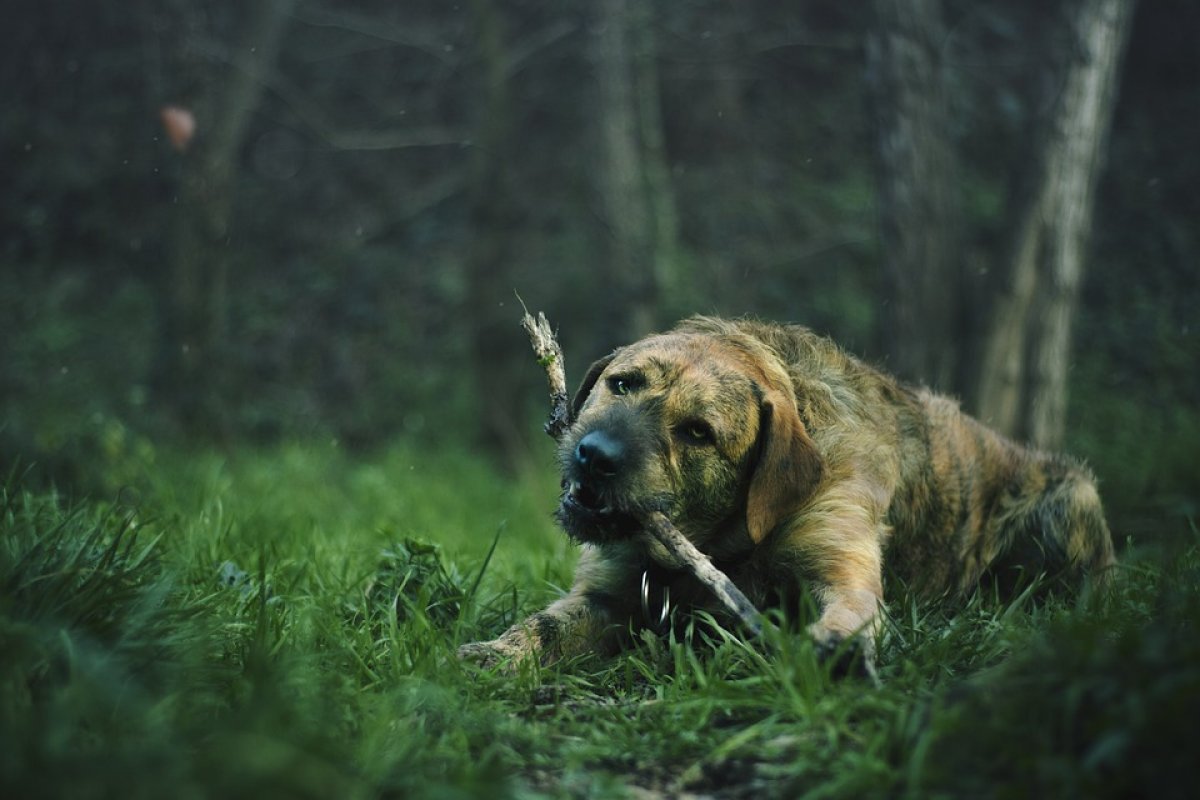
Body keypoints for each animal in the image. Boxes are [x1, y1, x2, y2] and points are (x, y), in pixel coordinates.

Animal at [458, 316, 1113, 671]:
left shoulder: (839, 556)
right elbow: (543, 625)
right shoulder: (606, 595)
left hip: (1070, 503)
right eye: (622, 384)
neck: (731, 545)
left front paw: (835, 648)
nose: (594, 456)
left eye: (698, 432)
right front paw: (495, 654)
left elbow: (852, 609)